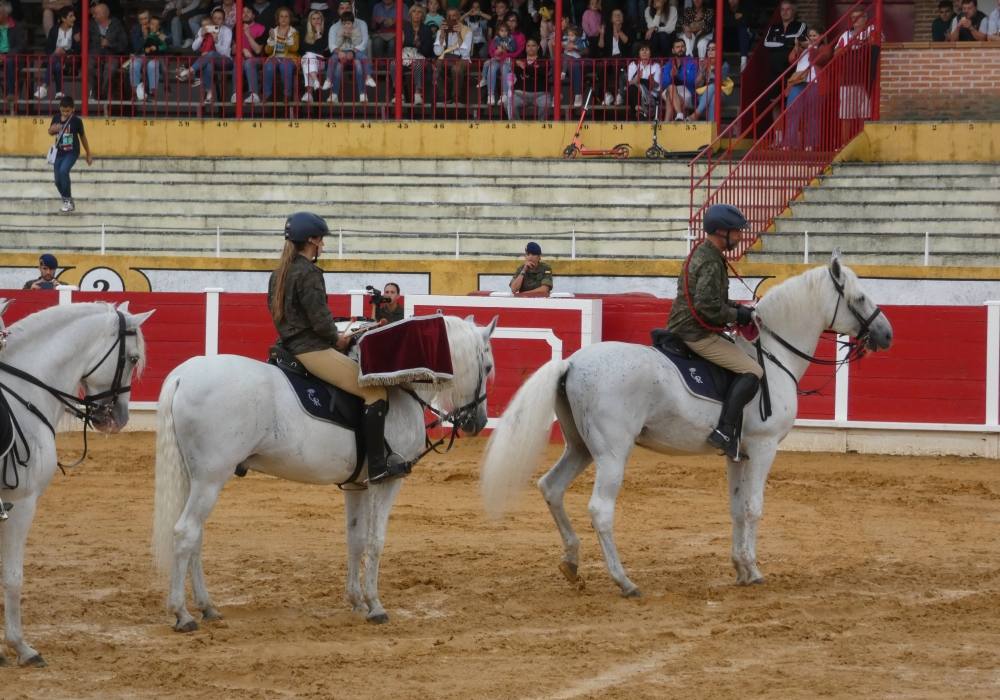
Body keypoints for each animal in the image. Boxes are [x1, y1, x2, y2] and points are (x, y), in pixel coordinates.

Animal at [151, 314, 496, 632]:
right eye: (489, 367)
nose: (477, 422)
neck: (400, 385)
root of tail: (184, 375)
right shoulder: (387, 482)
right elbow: (375, 540)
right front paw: (375, 605)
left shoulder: (357, 486)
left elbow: (356, 538)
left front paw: (357, 601)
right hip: (210, 479)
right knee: (185, 532)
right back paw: (182, 614)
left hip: (196, 479)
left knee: (195, 537)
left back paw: (207, 607)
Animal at [480, 254, 896, 600]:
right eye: (860, 298)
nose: (887, 335)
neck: (774, 356)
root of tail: (573, 363)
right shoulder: (763, 448)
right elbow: (754, 508)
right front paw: (754, 569)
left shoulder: (738, 454)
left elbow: (736, 508)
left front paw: (741, 568)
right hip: (612, 453)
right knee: (600, 509)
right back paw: (624, 581)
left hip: (581, 448)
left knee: (551, 488)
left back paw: (571, 564)